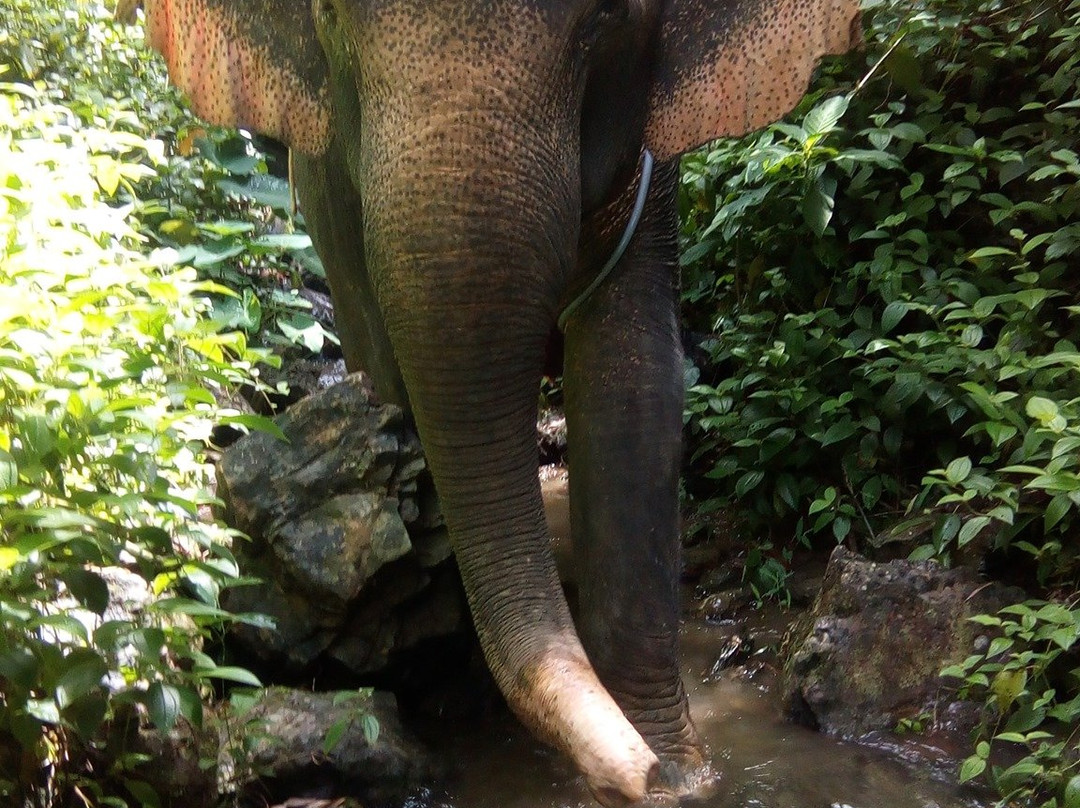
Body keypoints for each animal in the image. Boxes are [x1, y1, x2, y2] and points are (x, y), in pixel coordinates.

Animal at [137, 3, 859, 803]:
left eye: (605, 20)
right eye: (328, 20)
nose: (645, 777)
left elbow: (633, 385)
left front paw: (684, 773)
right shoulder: (330, 197)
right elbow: (393, 364)